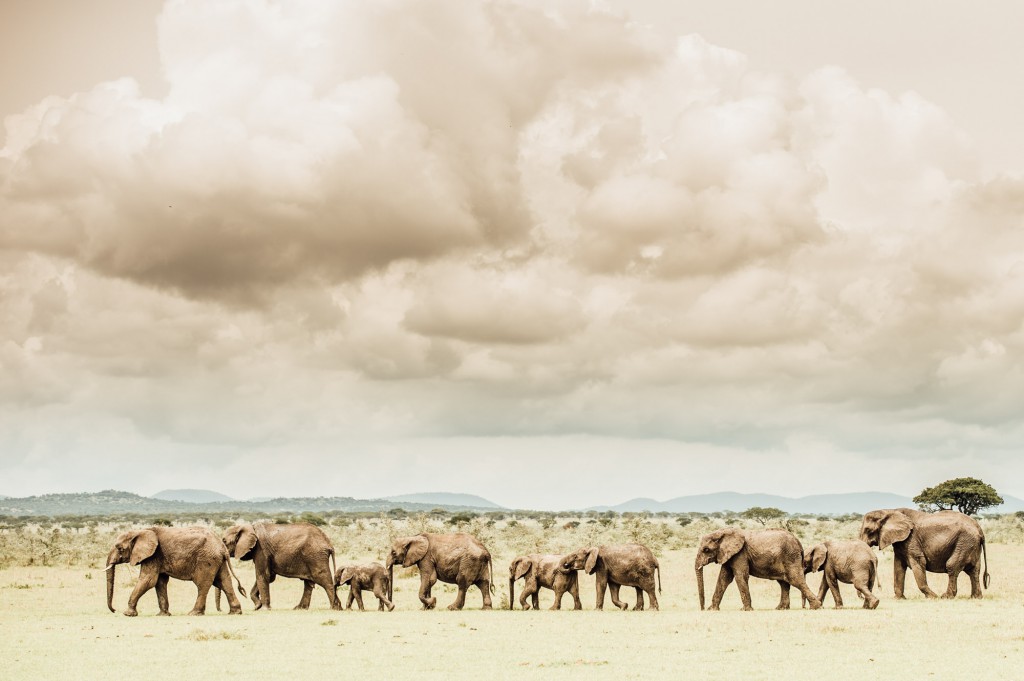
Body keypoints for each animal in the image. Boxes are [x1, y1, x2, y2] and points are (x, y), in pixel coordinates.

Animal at [105, 526, 245, 617]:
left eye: (119, 548)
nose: (114, 610)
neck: (140, 531)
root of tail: (222, 547)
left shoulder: (153, 556)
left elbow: (148, 580)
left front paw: (127, 614)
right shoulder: (157, 558)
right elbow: (159, 582)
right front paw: (163, 615)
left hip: (206, 559)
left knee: (203, 585)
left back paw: (193, 613)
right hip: (217, 560)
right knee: (224, 582)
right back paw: (235, 612)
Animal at [859, 507, 989, 599]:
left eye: (868, 531)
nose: (861, 597)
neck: (889, 511)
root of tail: (980, 529)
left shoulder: (912, 540)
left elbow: (918, 563)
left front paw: (933, 597)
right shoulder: (901, 542)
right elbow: (898, 567)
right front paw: (899, 598)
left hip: (964, 542)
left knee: (952, 566)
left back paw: (945, 597)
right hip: (970, 544)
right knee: (974, 570)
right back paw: (976, 597)